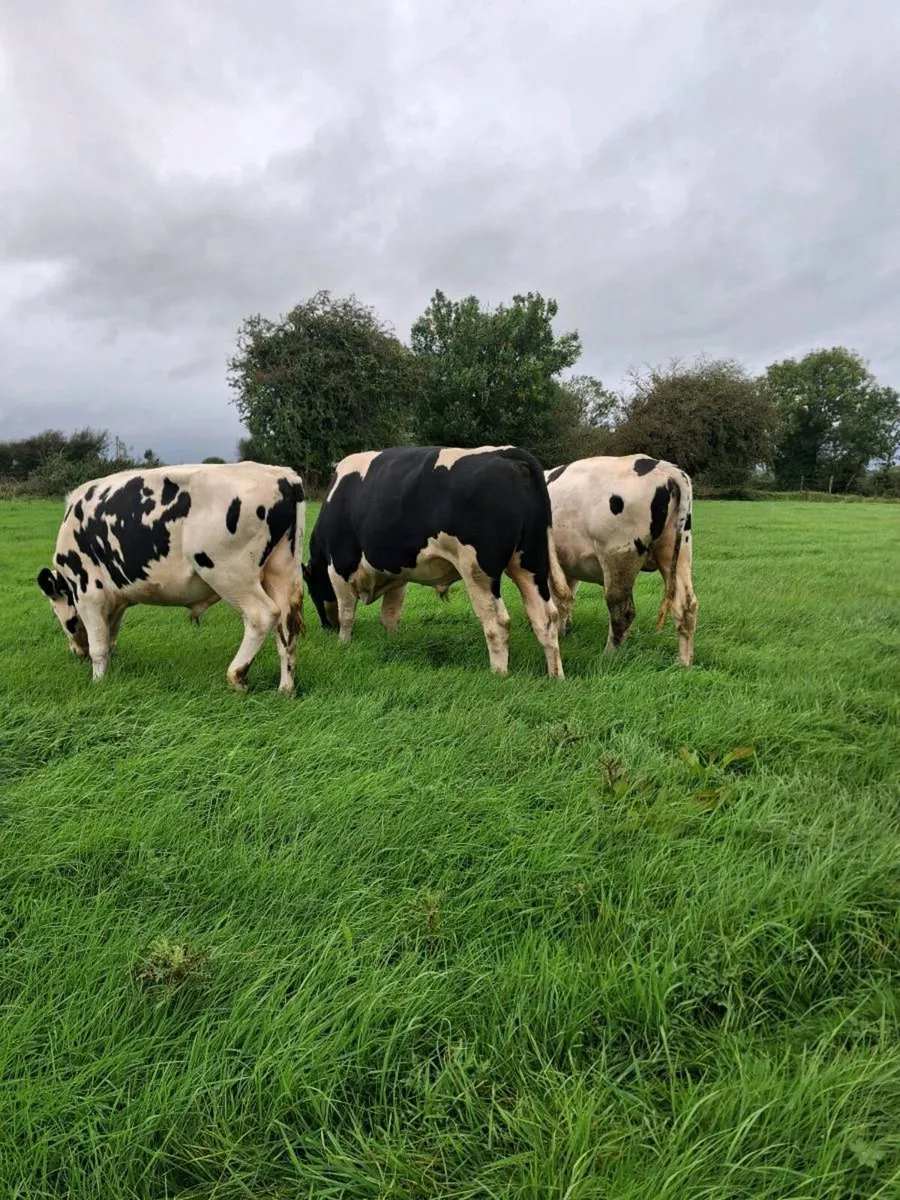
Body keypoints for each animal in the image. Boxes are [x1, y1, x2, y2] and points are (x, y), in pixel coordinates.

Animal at [36, 461, 306, 693]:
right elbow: (109, 639)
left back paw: (236, 676)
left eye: (55, 612)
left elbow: (99, 647)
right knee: (286, 626)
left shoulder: (88, 593)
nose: (75, 651)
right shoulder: (115, 600)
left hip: (229, 573)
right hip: (281, 570)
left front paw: (98, 683)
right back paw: (285, 689)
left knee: (262, 615)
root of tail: (282, 475)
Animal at [302, 445, 568, 677]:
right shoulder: (397, 573)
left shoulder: (339, 566)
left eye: (312, 590)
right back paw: (555, 676)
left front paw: (343, 644)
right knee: (546, 617)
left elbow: (346, 612)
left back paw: (498, 674)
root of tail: (508, 453)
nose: (326, 627)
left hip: (478, 570)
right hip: (530, 563)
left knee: (497, 622)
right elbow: (390, 613)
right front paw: (393, 642)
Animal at [544, 454, 698, 665]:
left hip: (618, 554)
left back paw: (608, 658)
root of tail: (663, 466)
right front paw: (562, 632)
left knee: (622, 611)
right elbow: (564, 599)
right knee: (686, 607)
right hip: (677, 550)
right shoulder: (567, 566)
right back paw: (683, 664)